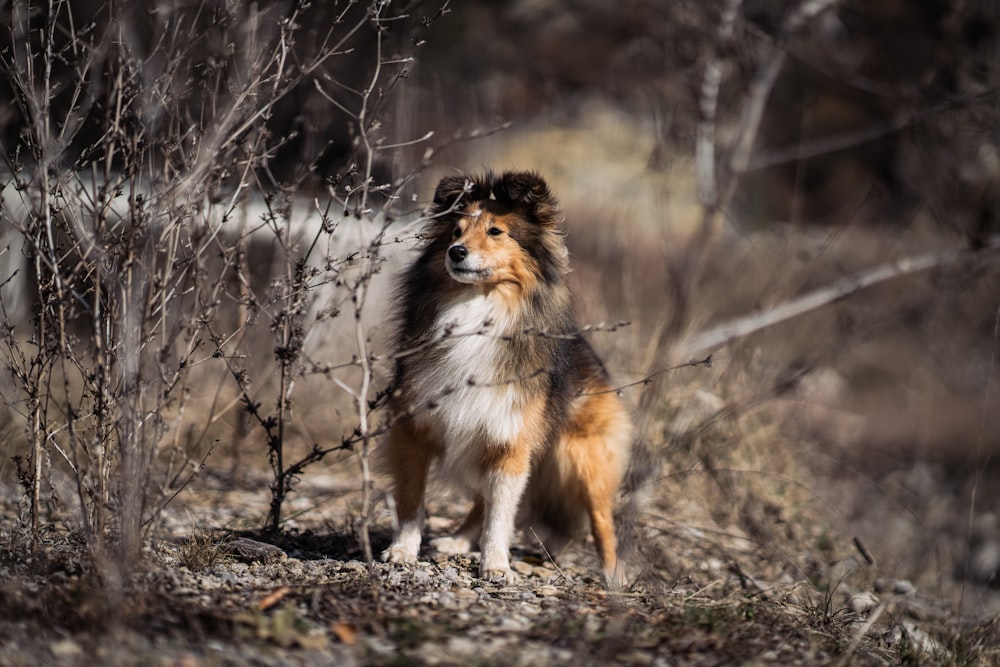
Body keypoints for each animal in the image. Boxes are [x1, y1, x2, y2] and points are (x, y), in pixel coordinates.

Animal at [382, 170, 632, 588]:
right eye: (455, 231)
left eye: (496, 231)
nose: (456, 252)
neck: (479, 307)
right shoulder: (414, 429)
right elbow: (411, 499)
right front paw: (403, 551)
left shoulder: (510, 438)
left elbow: (502, 513)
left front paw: (497, 565)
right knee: (481, 501)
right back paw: (458, 540)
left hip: (586, 459)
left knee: (602, 521)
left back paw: (614, 576)